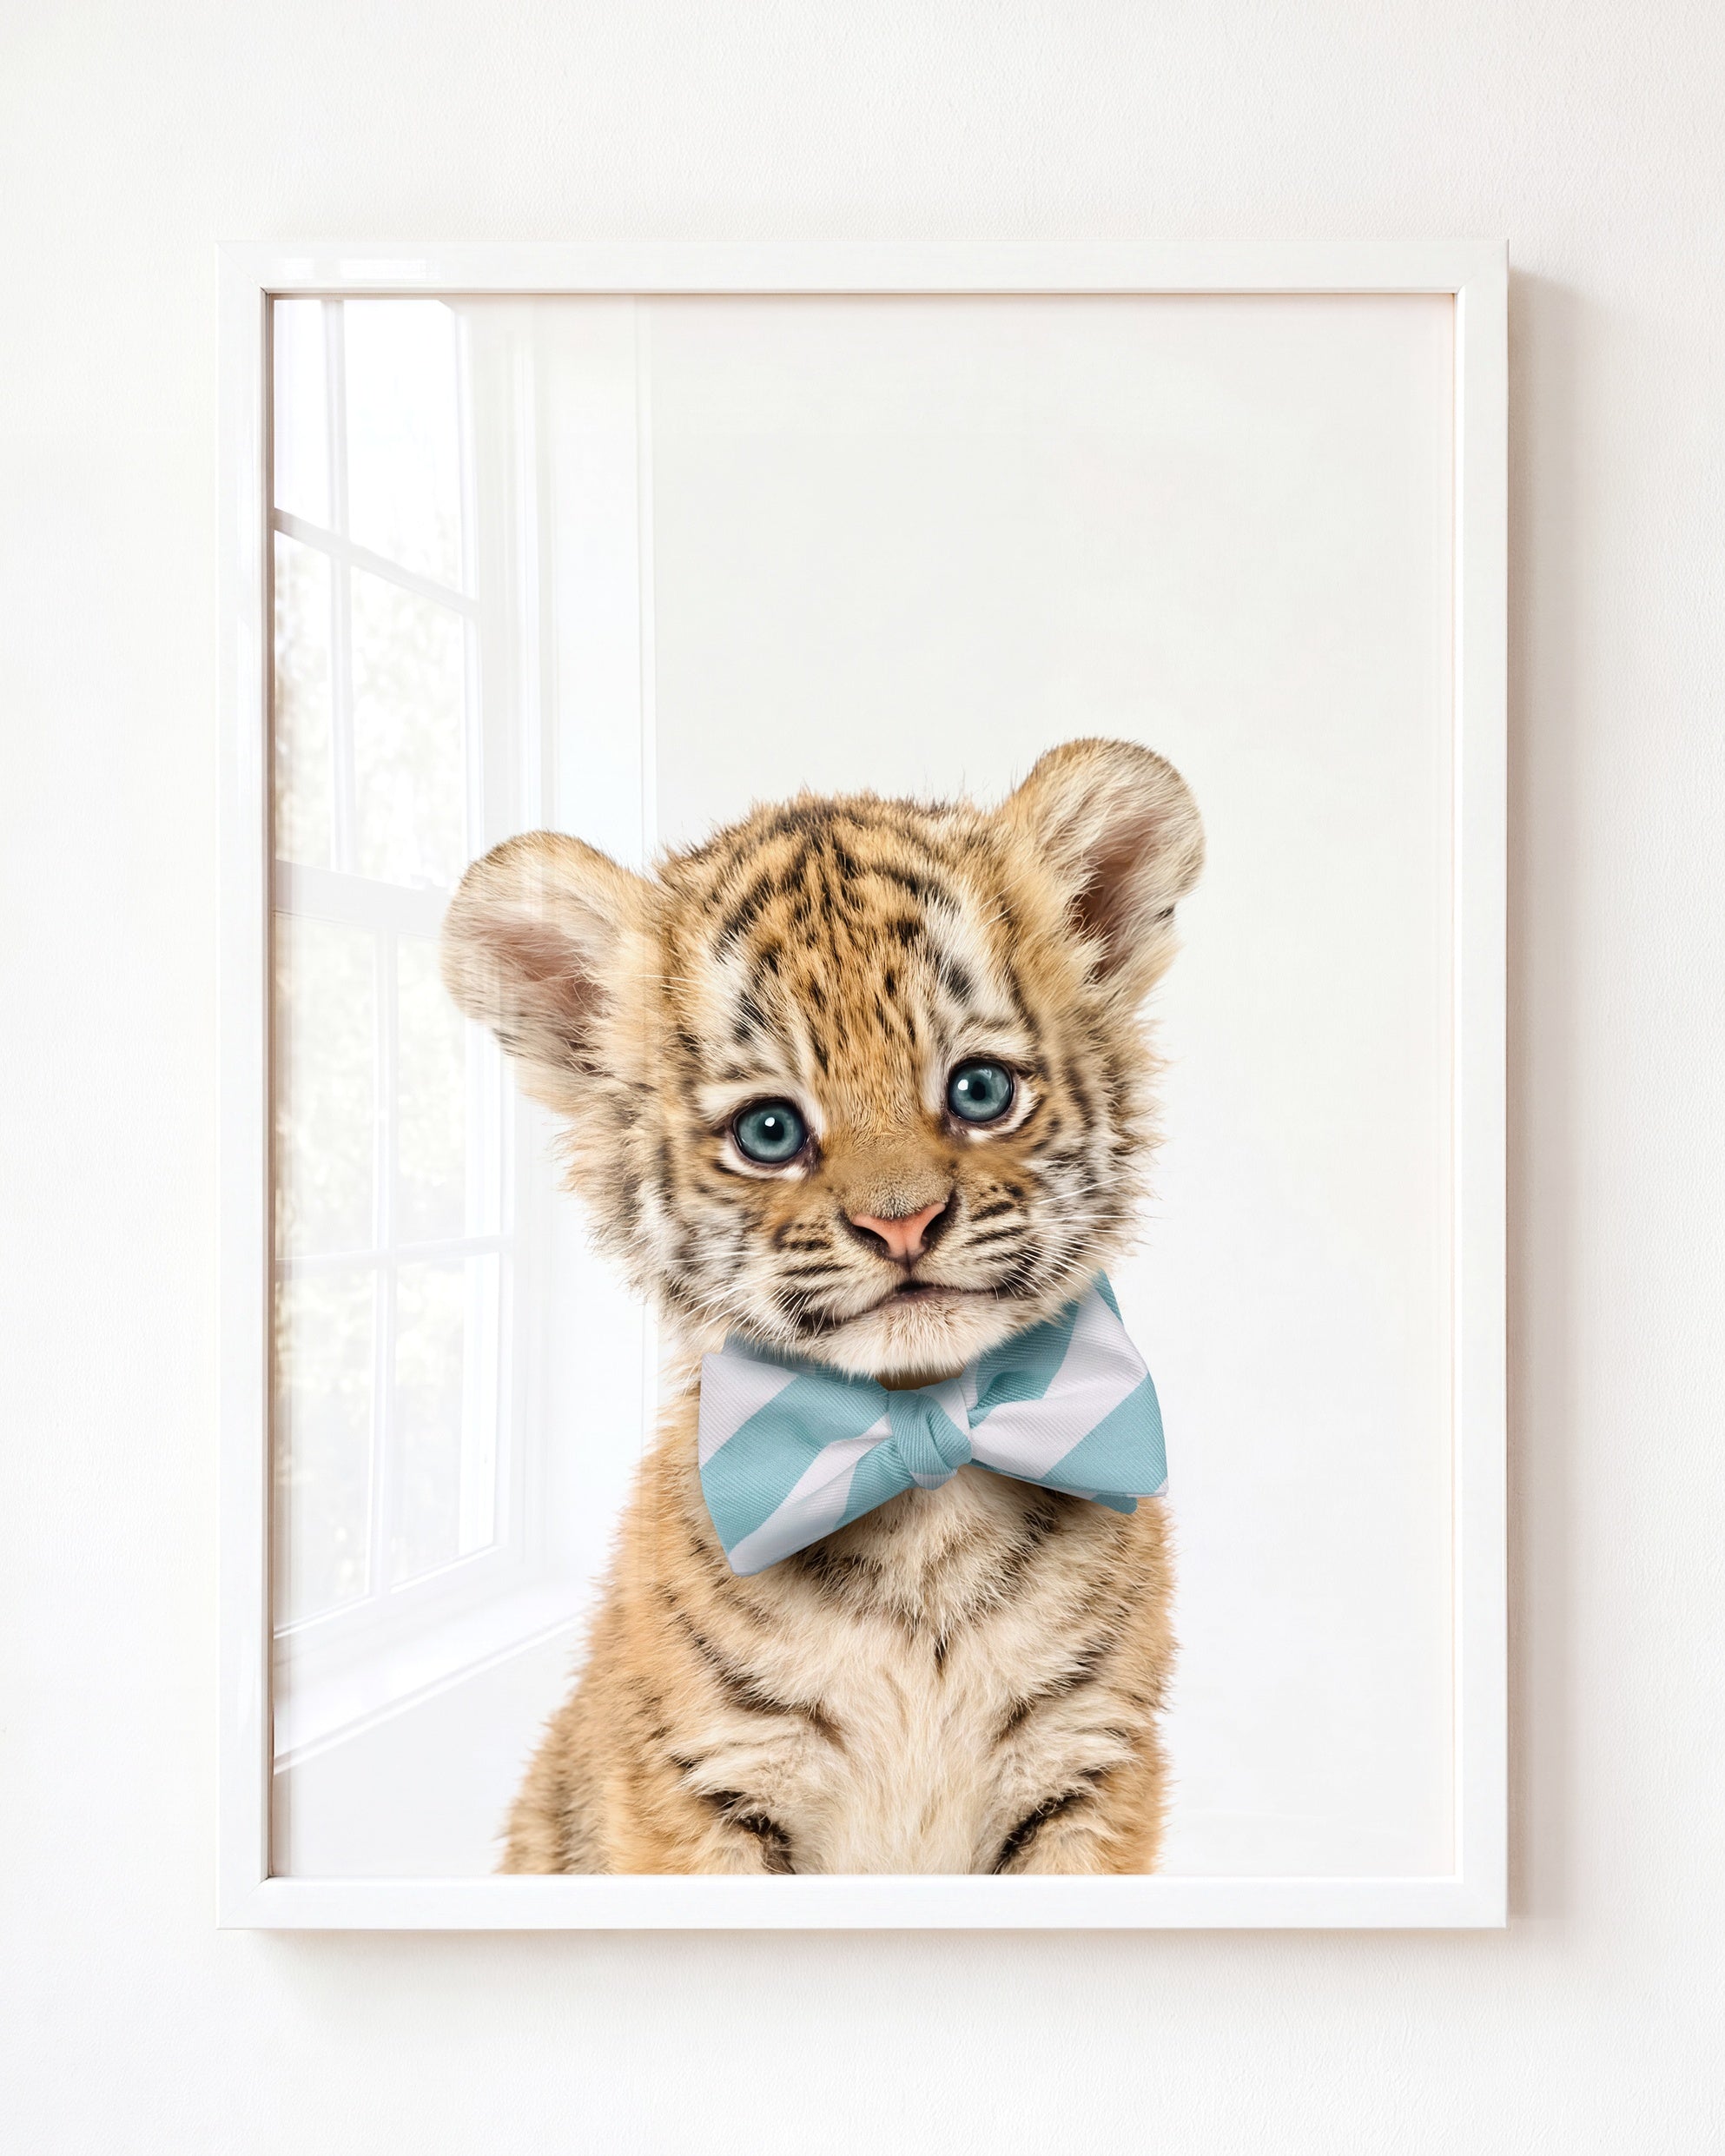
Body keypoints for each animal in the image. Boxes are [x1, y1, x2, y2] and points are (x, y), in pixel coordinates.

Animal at [440, 736, 1204, 1874]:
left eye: (980, 1091)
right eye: (770, 1130)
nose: (904, 1222)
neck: (922, 1481)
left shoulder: (1089, 1764)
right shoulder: (702, 1781)